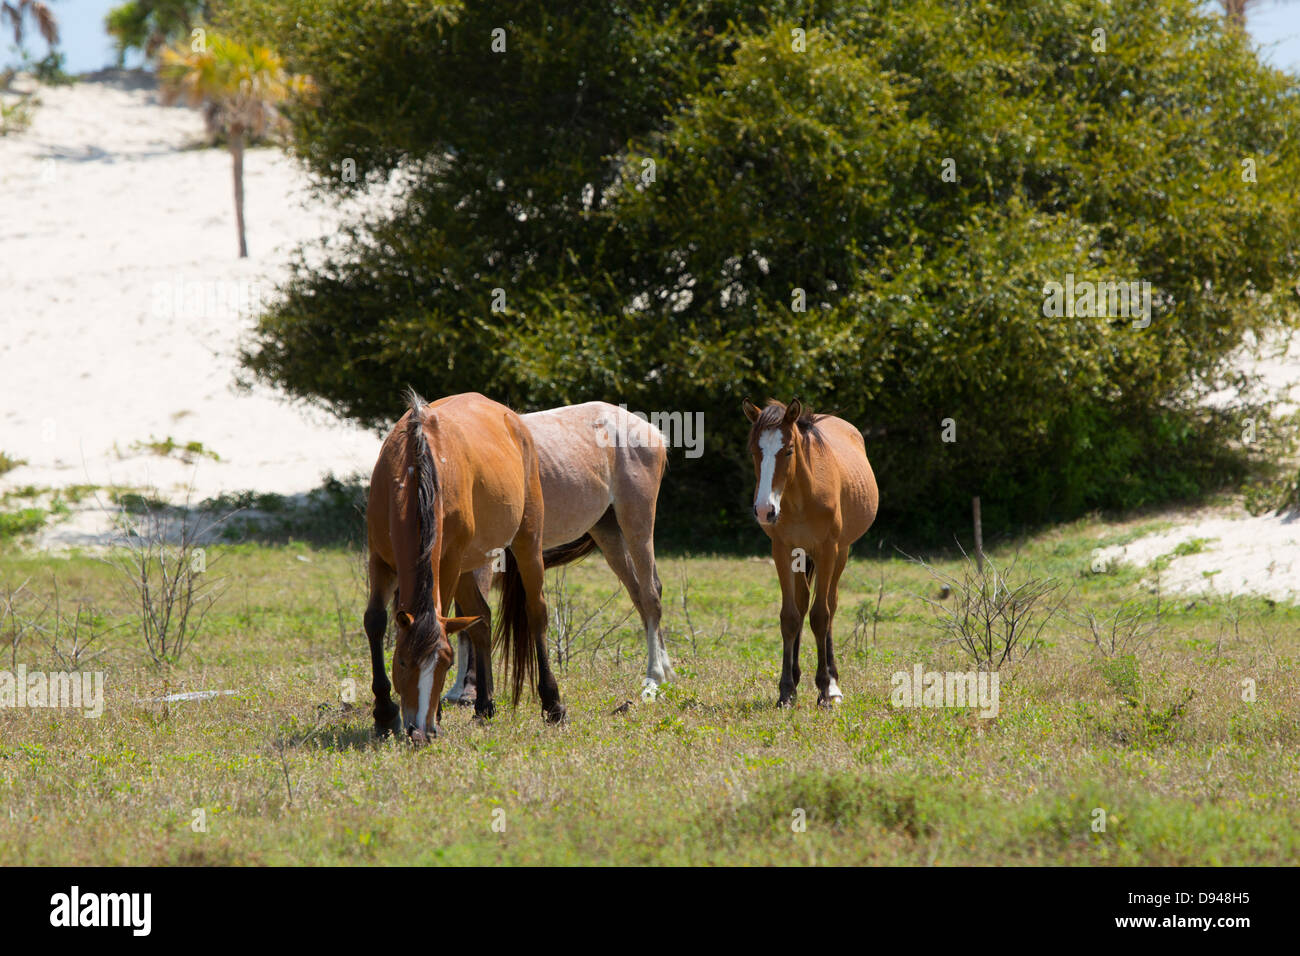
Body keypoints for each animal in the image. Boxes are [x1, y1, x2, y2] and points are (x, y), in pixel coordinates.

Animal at [361, 390, 564, 738]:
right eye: (402, 662)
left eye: (446, 663)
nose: (421, 730)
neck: (414, 470)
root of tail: (511, 418)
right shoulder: (380, 559)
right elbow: (375, 620)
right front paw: (384, 713)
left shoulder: (448, 562)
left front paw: (434, 712)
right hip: (470, 563)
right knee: (481, 619)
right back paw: (484, 704)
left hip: (527, 539)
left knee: (536, 612)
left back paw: (552, 703)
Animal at [748, 398, 878, 712]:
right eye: (754, 450)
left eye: (788, 450)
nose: (764, 510)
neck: (799, 497)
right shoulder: (782, 550)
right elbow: (790, 616)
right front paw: (786, 690)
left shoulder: (828, 550)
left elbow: (821, 616)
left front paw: (826, 689)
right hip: (802, 556)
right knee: (802, 602)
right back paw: (796, 678)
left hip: (840, 553)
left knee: (829, 605)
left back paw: (833, 682)